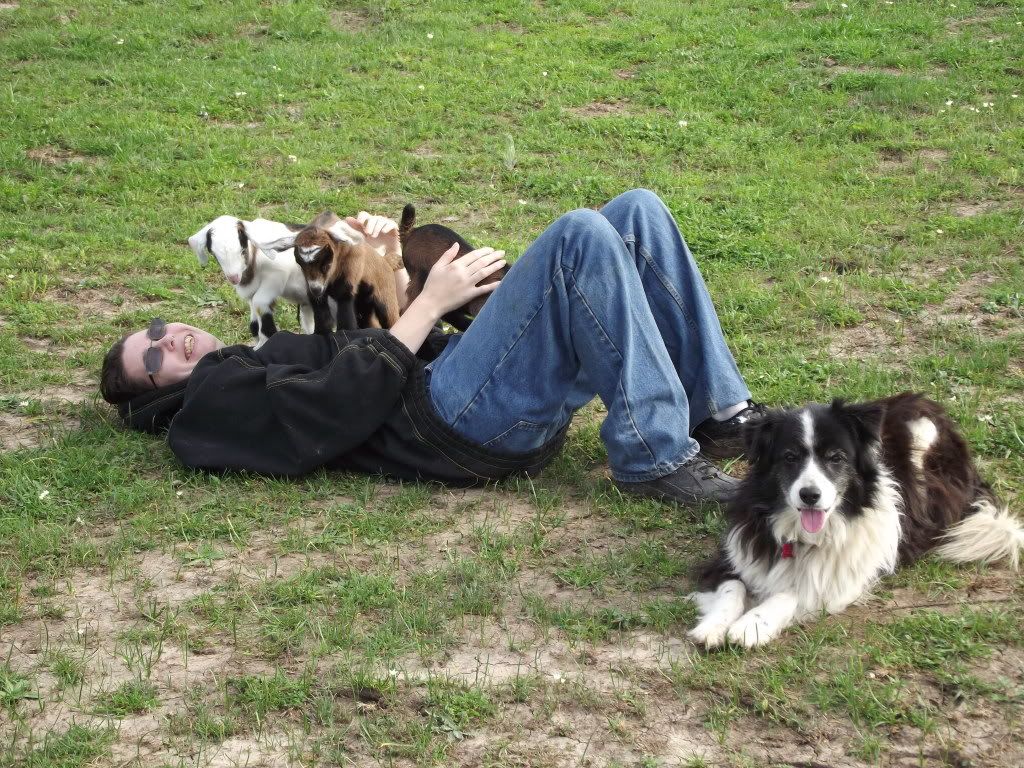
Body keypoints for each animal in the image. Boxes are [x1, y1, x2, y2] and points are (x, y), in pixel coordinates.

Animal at [188, 216, 333, 348]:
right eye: (214, 254)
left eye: (242, 251)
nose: (234, 278)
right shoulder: (251, 292)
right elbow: (253, 320)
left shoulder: (276, 276)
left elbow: (259, 302)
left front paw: (266, 339)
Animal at [253, 211, 403, 331]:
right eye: (300, 264)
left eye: (326, 265)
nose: (316, 289)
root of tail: (386, 261)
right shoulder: (315, 292)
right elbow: (323, 319)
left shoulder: (347, 285)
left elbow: (346, 321)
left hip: (385, 296)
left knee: (391, 319)